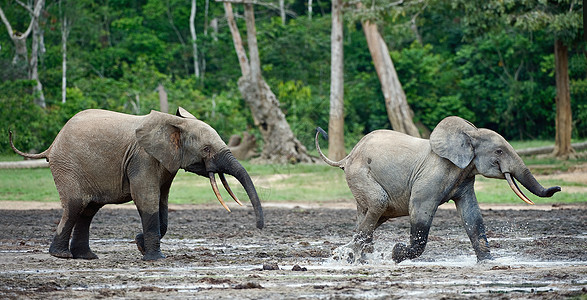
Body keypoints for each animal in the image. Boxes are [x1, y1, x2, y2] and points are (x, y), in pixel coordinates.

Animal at [9, 107, 264, 260]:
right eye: (207, 149)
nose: (259, 228)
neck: (174, 122)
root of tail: (52, 145)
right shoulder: (142, 158)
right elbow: (146, 199)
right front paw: (154, 258)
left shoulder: (165, 163)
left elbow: (162, 202)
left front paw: (140, 244)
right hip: (68, 166)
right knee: (75, 206)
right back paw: (61, 256)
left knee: (88, 210)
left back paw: (87, 257)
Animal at [316, 116, 560, 264]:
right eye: (499, 151)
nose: (557, 188)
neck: (469, 133)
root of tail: (348, 156)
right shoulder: (432, 175)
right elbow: (419, 210)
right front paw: (396, 253)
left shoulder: (464, 177)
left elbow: (472, 215)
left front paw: (488, 262)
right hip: (360, 173)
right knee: (379, 203)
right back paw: (350, 255)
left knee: (373, 214)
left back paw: (353, 256)